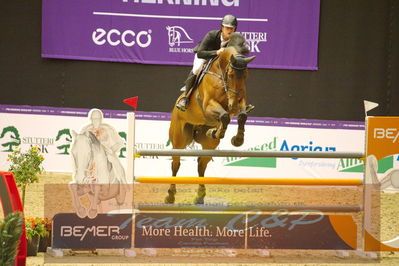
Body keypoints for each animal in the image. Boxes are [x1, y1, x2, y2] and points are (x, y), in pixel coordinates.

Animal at [166, 32, 256, 204]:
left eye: (246, 75)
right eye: (231, 75)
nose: (233, 104)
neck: (221, 74)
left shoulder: (240, 101)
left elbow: (240, 116)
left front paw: (236, 139)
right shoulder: (208, 105)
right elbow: (225, 115)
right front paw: (220, 132)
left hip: (209, 145)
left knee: (201, 164)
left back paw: (200, 196)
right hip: (179, 139)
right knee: (175, 163)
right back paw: (170, 195)